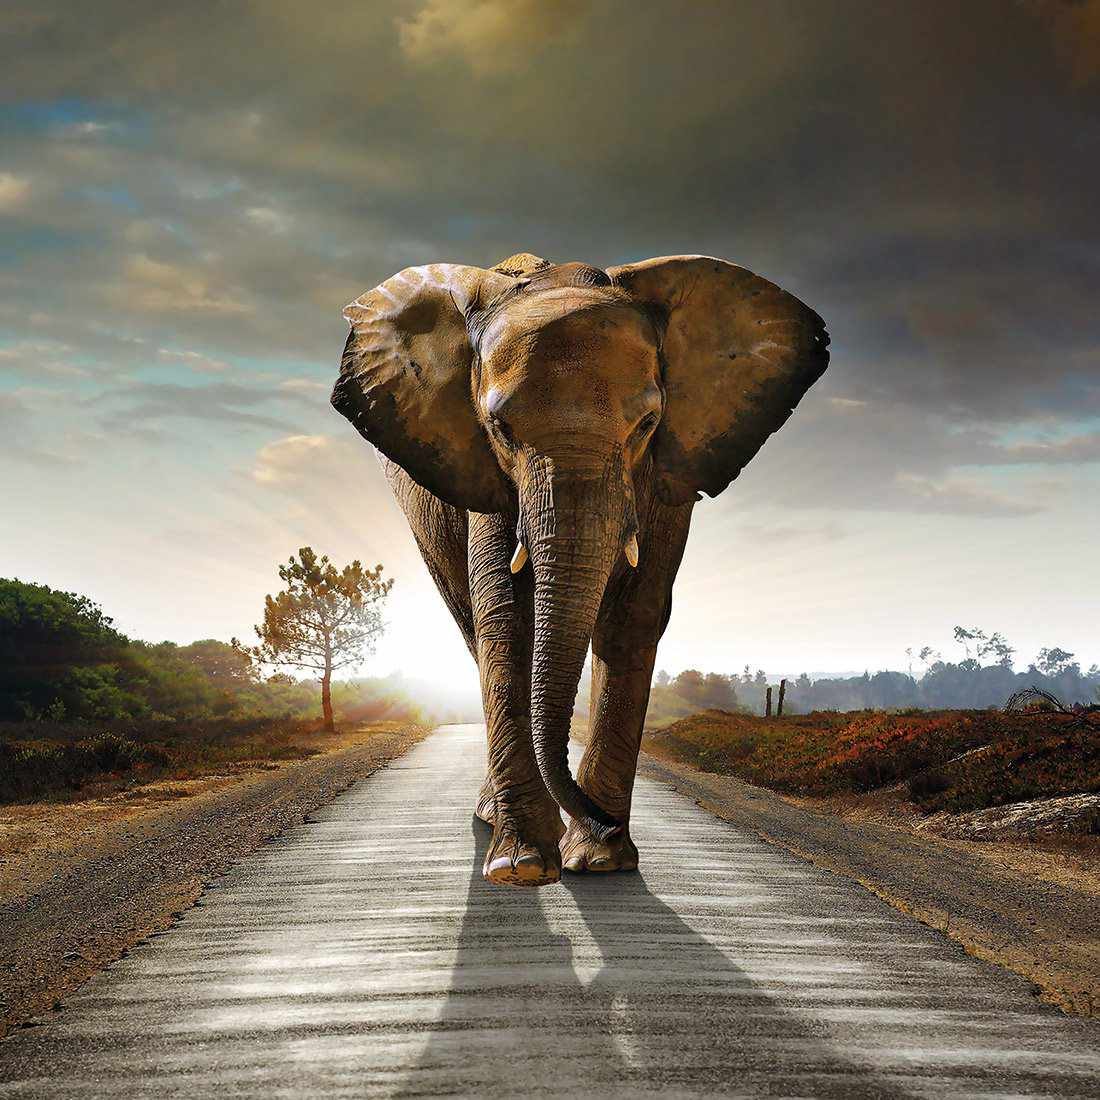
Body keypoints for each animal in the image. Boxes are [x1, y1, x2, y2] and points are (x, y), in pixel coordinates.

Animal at [331, 252, 828, 887]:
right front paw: (522, 867)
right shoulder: (484, 474)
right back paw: (494, 819)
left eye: (646, 425)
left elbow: (634, 615)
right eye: (500, 429)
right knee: (471, 625)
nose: (603, 820)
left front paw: (600, 860)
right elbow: (506, 616)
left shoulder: (668, 473)